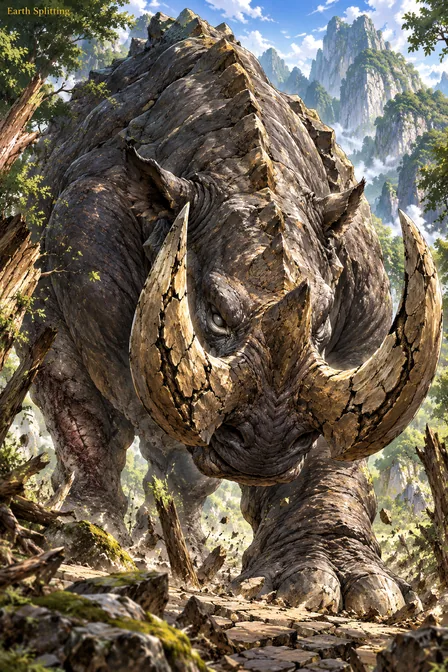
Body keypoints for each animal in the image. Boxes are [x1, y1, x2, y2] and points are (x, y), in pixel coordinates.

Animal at [27, 9, 441, 615]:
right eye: (216, 317)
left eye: (322, 323)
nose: (267, 446)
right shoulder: (84, 241)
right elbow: (136, 392)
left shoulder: (360, 291)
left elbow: (336, 438)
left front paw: (344, 585)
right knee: (68, 377)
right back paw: (96, 531)